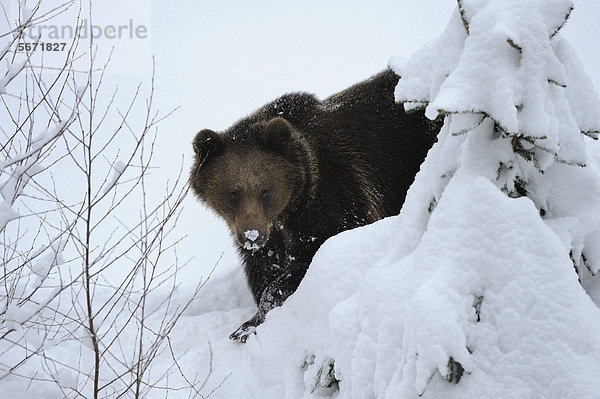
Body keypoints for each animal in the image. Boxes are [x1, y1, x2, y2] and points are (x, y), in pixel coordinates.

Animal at [191, 69, 440, 344]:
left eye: (265, 191)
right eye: (233, 193)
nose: (252, 236)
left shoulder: (334, 195)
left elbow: (315, 252)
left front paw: (249, 324)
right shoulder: (267, 236)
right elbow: (263, 269)